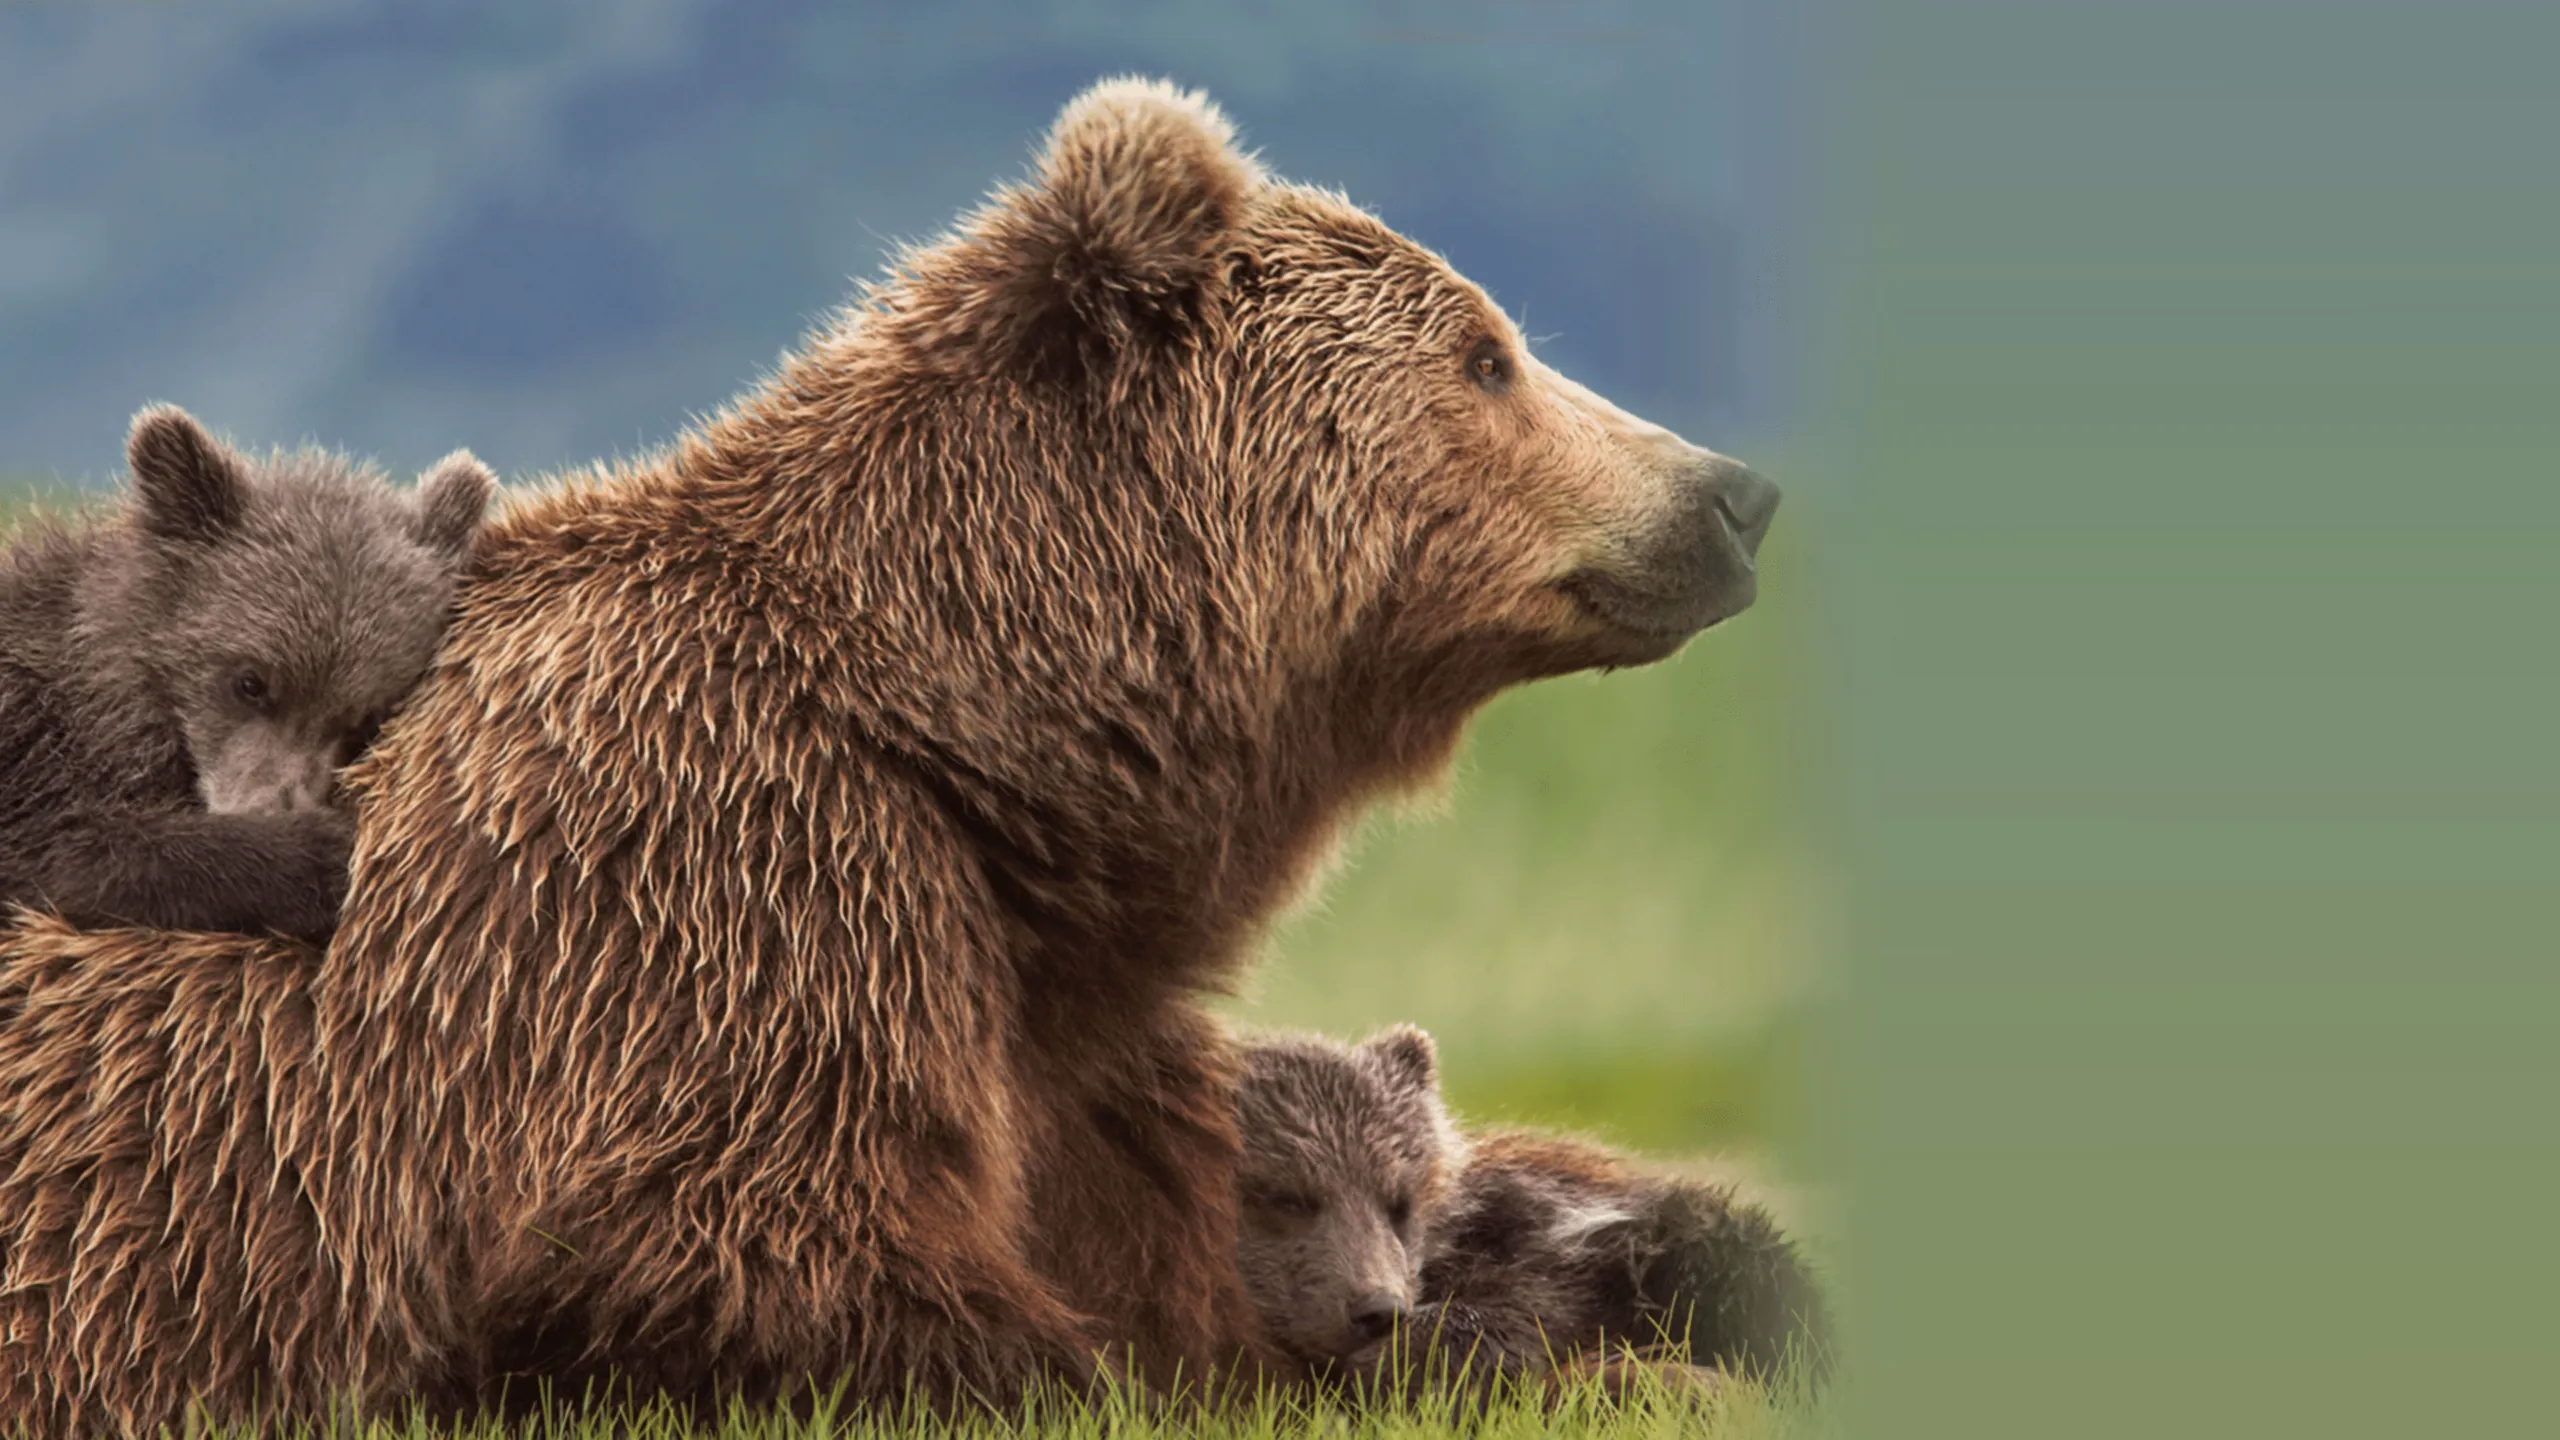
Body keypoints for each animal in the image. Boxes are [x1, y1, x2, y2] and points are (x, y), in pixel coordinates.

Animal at [0, 404, 495, 940]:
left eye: (364, 718)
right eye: (251, 681)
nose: (271, 808)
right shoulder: (32, 752)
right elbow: (67, 848)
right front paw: (321, 853)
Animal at [1229, 1027, 1829, 1400]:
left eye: (1399, 1201)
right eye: (1286, 1196)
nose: (1379, 1309)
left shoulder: (1566, 1236)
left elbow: (1525, 1302)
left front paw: (1400, 1361)